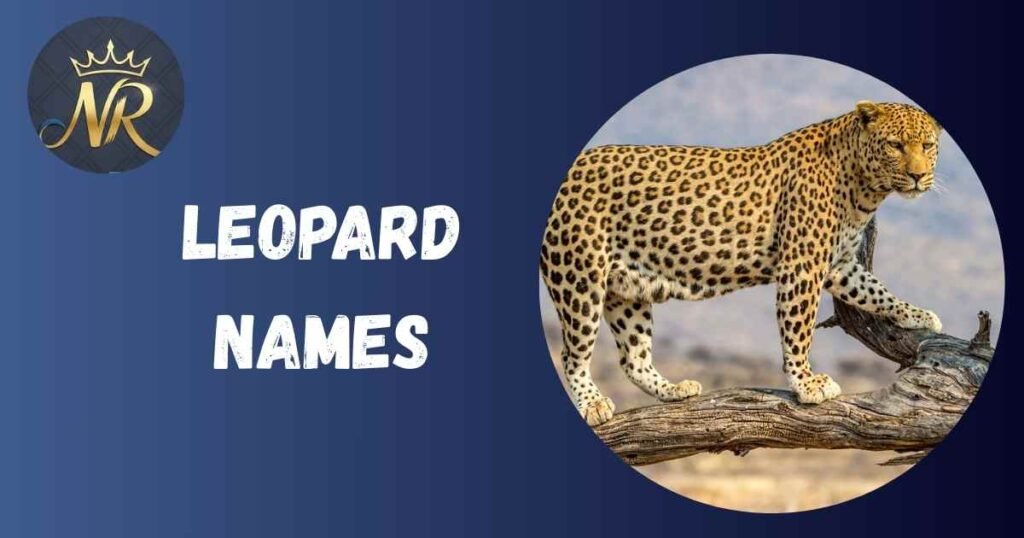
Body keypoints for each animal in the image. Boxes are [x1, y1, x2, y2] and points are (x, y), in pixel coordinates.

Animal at [540, 101, 944, 426]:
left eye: (927, 145)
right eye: (895, 145)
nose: (918, 176)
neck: (864, 188)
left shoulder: (839, 265)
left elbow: (876, 291)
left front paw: (918, 315)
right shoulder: (802, 265)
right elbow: (798, 331)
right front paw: (806, 383)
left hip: (626, 289)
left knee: (633, 358)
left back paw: (674, 390)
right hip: (579, 276)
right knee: (572, 354)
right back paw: (593, 404)